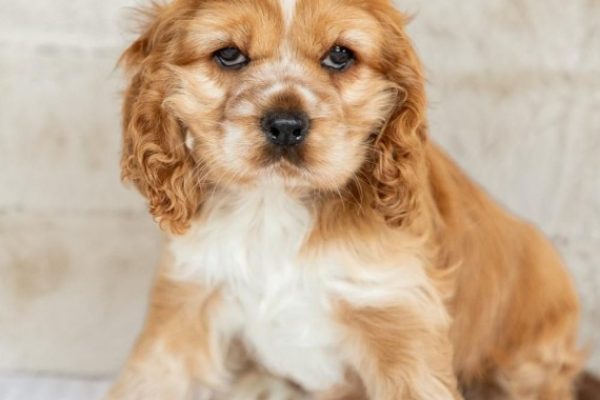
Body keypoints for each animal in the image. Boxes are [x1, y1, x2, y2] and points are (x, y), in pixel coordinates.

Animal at [106, 0, 580, 398]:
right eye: (229, 55)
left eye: (340, 55)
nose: (285, 125)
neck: (273, 207)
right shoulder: (186, 306)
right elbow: (149, 382)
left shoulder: (400, 323)